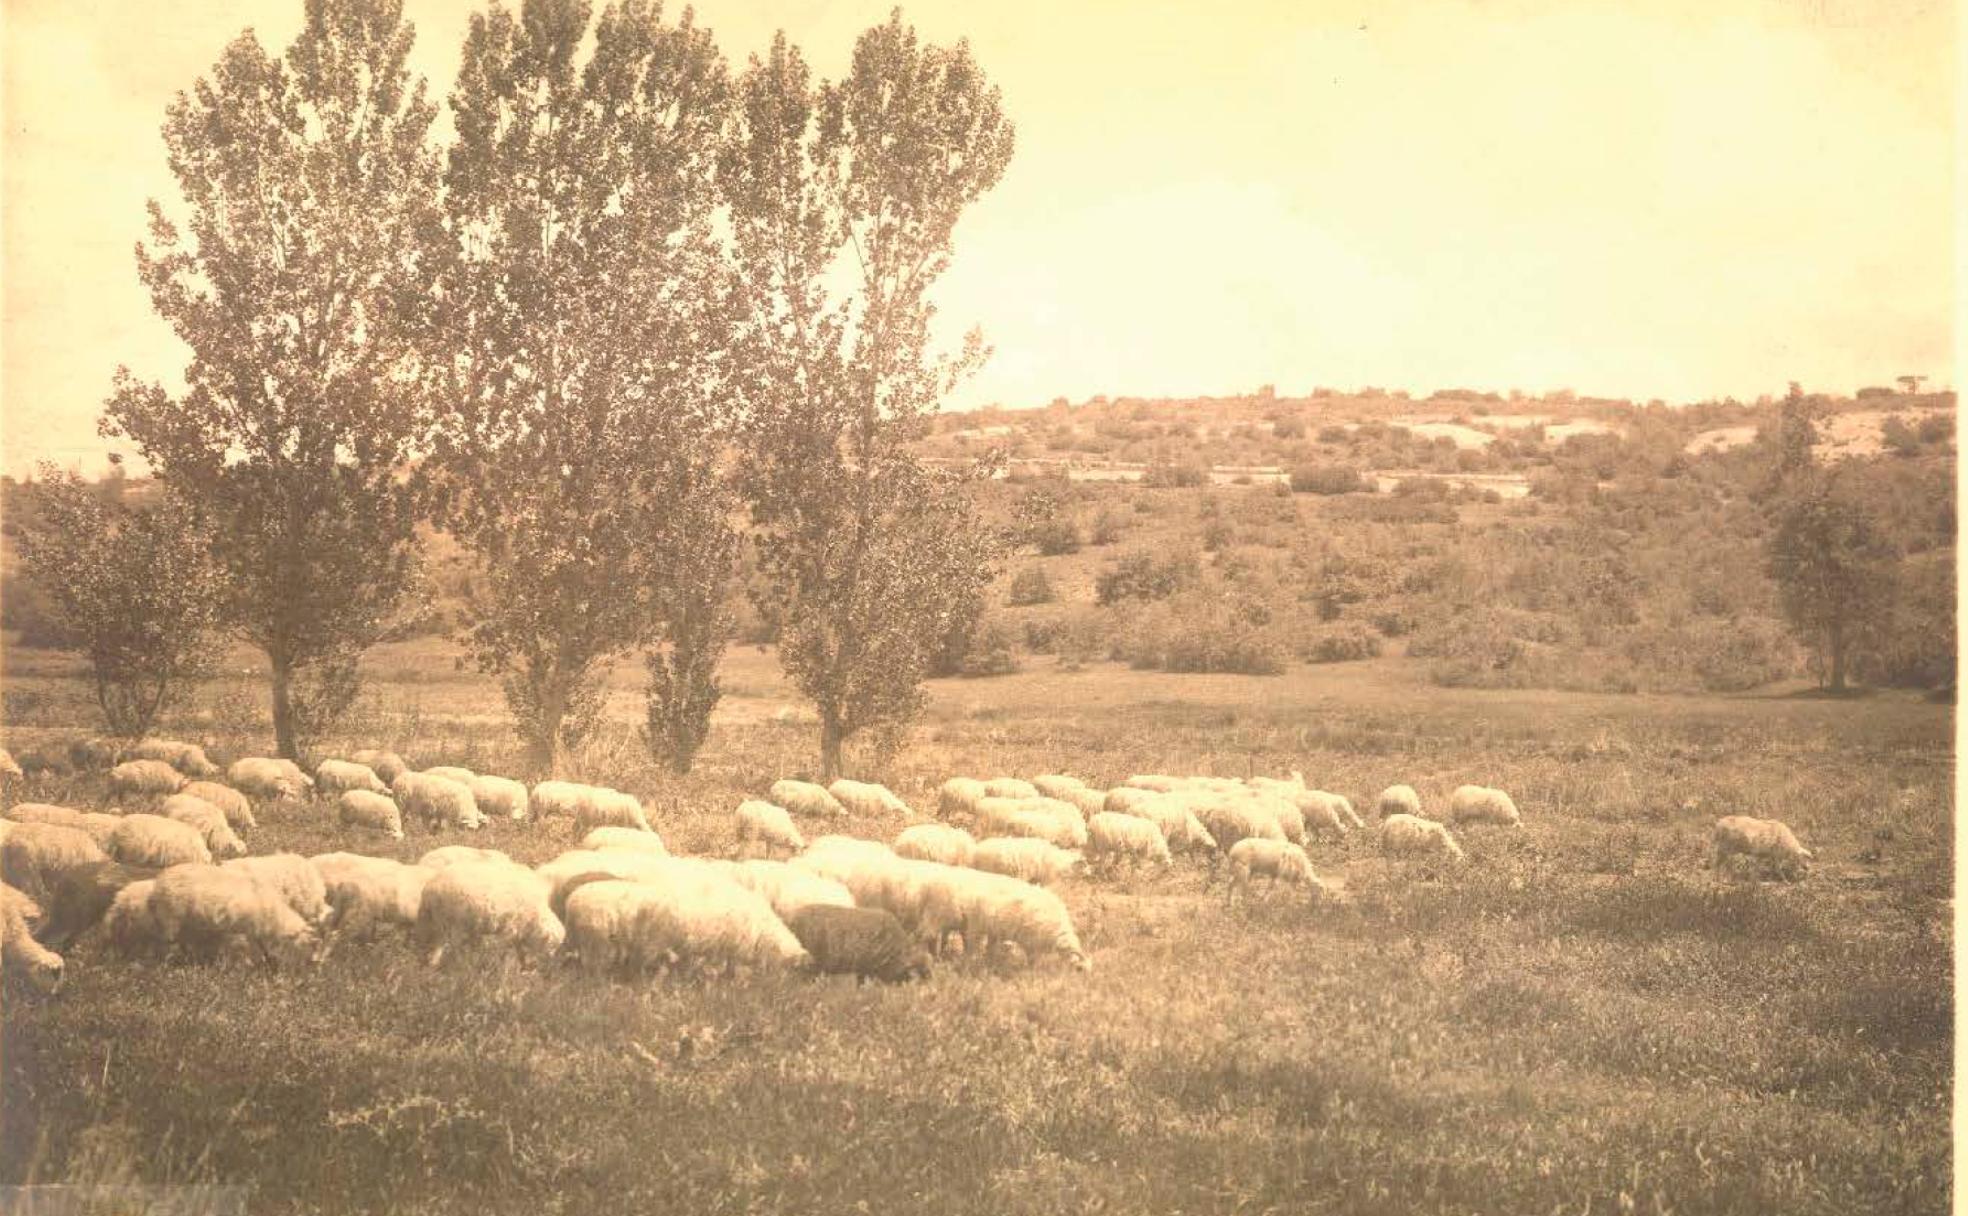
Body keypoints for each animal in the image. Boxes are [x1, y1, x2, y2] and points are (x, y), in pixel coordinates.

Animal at [149, 861, 318, 964]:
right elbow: (243, 947)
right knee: (167, 942)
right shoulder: (239, 929)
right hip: (171, 918)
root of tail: (159, 881)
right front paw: (245, 963)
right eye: (305, 945)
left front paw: (266, 960)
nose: (314, 963)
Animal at [417, 861, 566, 964]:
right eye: (551, 945)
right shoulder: (509, 929)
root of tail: (431, 886)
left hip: (440, 919)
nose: (550, 958)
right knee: (446, 943)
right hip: (452, 920)